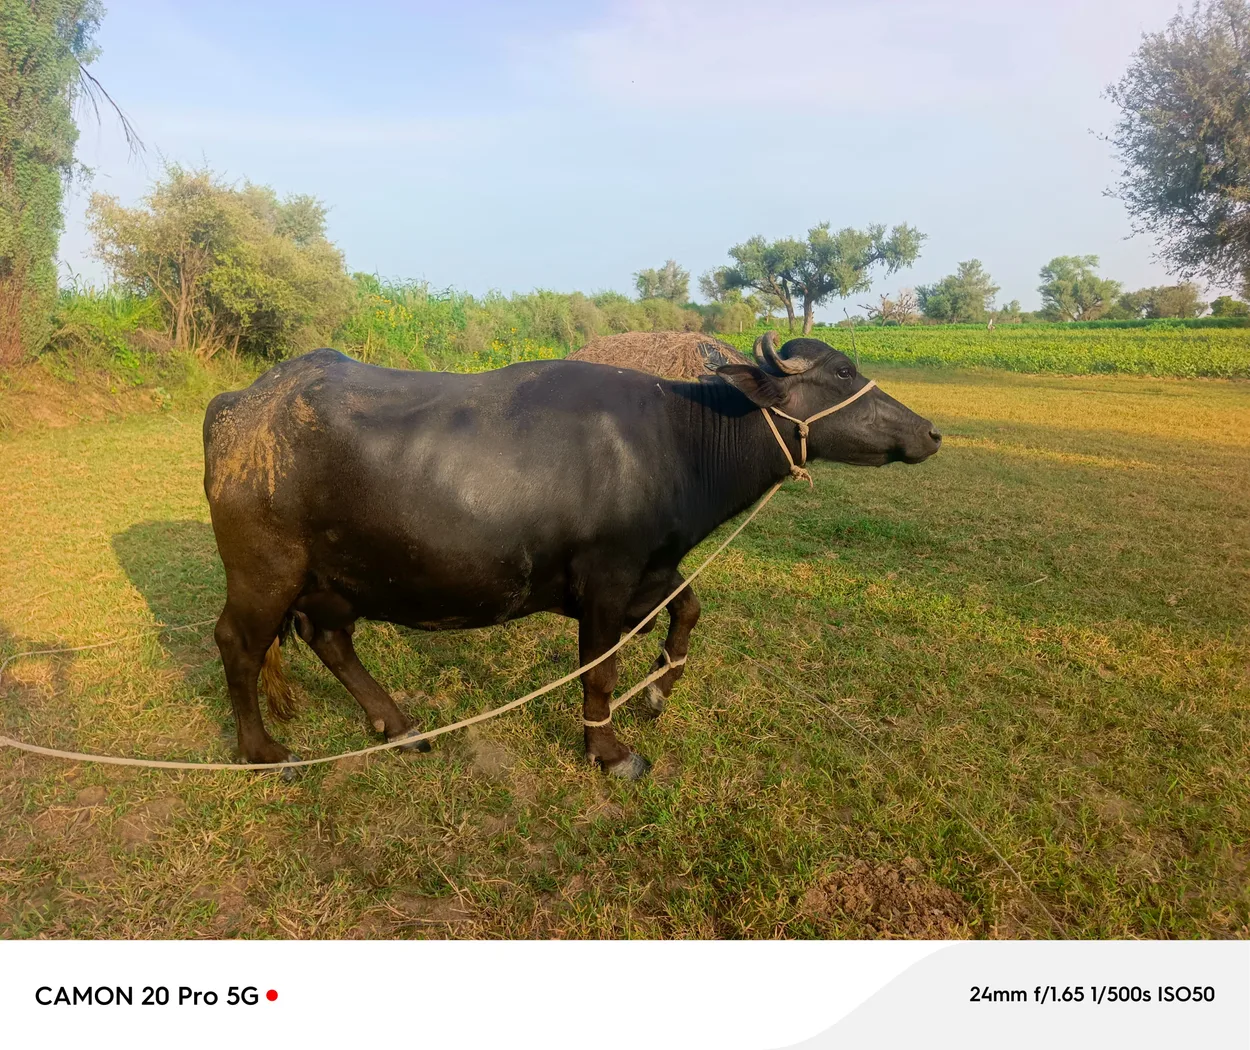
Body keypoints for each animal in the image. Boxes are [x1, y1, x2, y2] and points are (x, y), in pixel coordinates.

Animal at [203, 334, 940, 778]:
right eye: (843, 372)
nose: (930, 432)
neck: (678, 439)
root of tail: (240, 406)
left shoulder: (651, 568)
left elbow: (689, 610)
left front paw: (659, 691)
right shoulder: (607, 581)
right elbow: (600, 671)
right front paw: (611, 751)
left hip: (333, 577)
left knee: (329, 639)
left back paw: (400, 726)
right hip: (266, 569)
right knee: (239, 642)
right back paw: (264, 750)